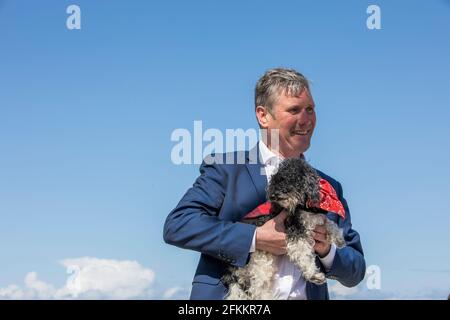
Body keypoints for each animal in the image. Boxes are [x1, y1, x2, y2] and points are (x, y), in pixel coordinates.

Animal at [223, 158, 346, 300]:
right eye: (276, 180)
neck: (304, 205)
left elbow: (330, 223)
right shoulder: (295, 231)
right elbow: (303, 253)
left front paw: (338, 238)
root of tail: (232, 272)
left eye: (290, 178)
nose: (273, 195)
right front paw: (313, 274)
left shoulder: (316, 218)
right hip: (260, 262)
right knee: (256, 289)